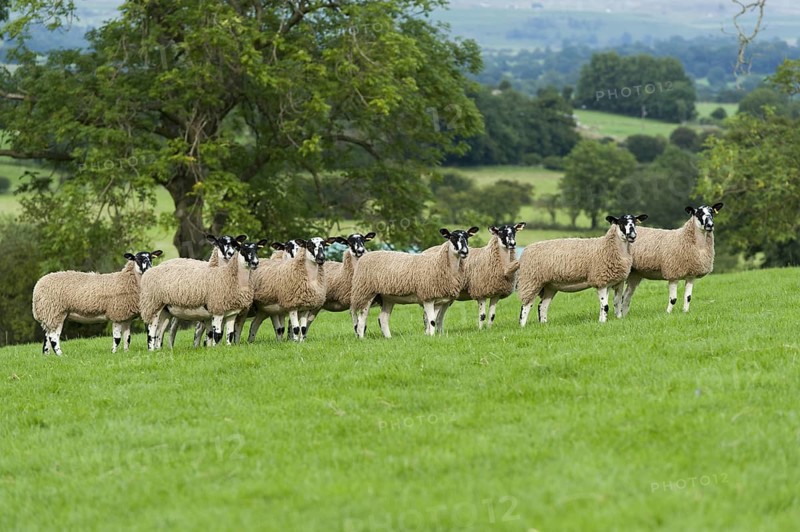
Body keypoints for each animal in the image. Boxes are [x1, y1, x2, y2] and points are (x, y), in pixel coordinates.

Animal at [32, 249, 163, 356]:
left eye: (151, 258)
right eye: (137, 258)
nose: (148, 268)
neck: (127, 280)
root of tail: (38, 286)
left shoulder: (126, 316)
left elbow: (127, 338)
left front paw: (126, 352)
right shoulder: (116, 313)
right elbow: (117, 338)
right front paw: (113, 353)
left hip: (51, 315)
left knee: (47, 337)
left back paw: (47, 355)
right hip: (54, 311)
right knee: (53, 337)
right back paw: (61, 355)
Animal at [350, 227, 479, 338]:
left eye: (467, 237)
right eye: (452, 237)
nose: (464, 252)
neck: (439, 263)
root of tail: (365, 256)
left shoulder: (438, 300)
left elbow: (435, 319)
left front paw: (430, 335)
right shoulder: (427, 297)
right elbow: (432, 320)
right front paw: (431, 337)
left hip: (387, 298)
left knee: (383, 318)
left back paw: (388, 338)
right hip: (366, 292)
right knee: (362, 317)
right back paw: (361, 338)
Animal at [518, 214, 648, 325]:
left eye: (635, 222)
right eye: (621, 223)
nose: (632, 235)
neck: (610, 247)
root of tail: (525, 249)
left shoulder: (617, 281)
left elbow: (617, 302)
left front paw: (617, 319)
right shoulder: (600, 280)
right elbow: (605, 305)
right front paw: (602, 322)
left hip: (550, 286)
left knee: (542, 306)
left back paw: (544, 325)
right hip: (531, 281)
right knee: (526, 306)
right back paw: (522, 326)